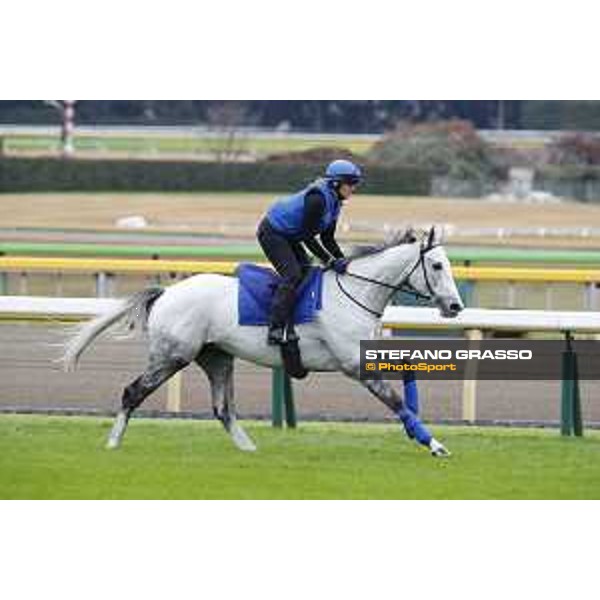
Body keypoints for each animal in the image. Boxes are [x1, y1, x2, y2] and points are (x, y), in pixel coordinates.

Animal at [62, 225, 464, 454]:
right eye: (437, 266)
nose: (456, 306)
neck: (354, 292)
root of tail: (167, 292)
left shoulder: (362, 355)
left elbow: (407, 371)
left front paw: (418, 427)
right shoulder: (353, 363)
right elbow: (394, 400)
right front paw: (433, 443)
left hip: (217, 357)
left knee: (223, 409)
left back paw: (249, 450)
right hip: (172, 356)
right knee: (133, 392)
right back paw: (113, 443)